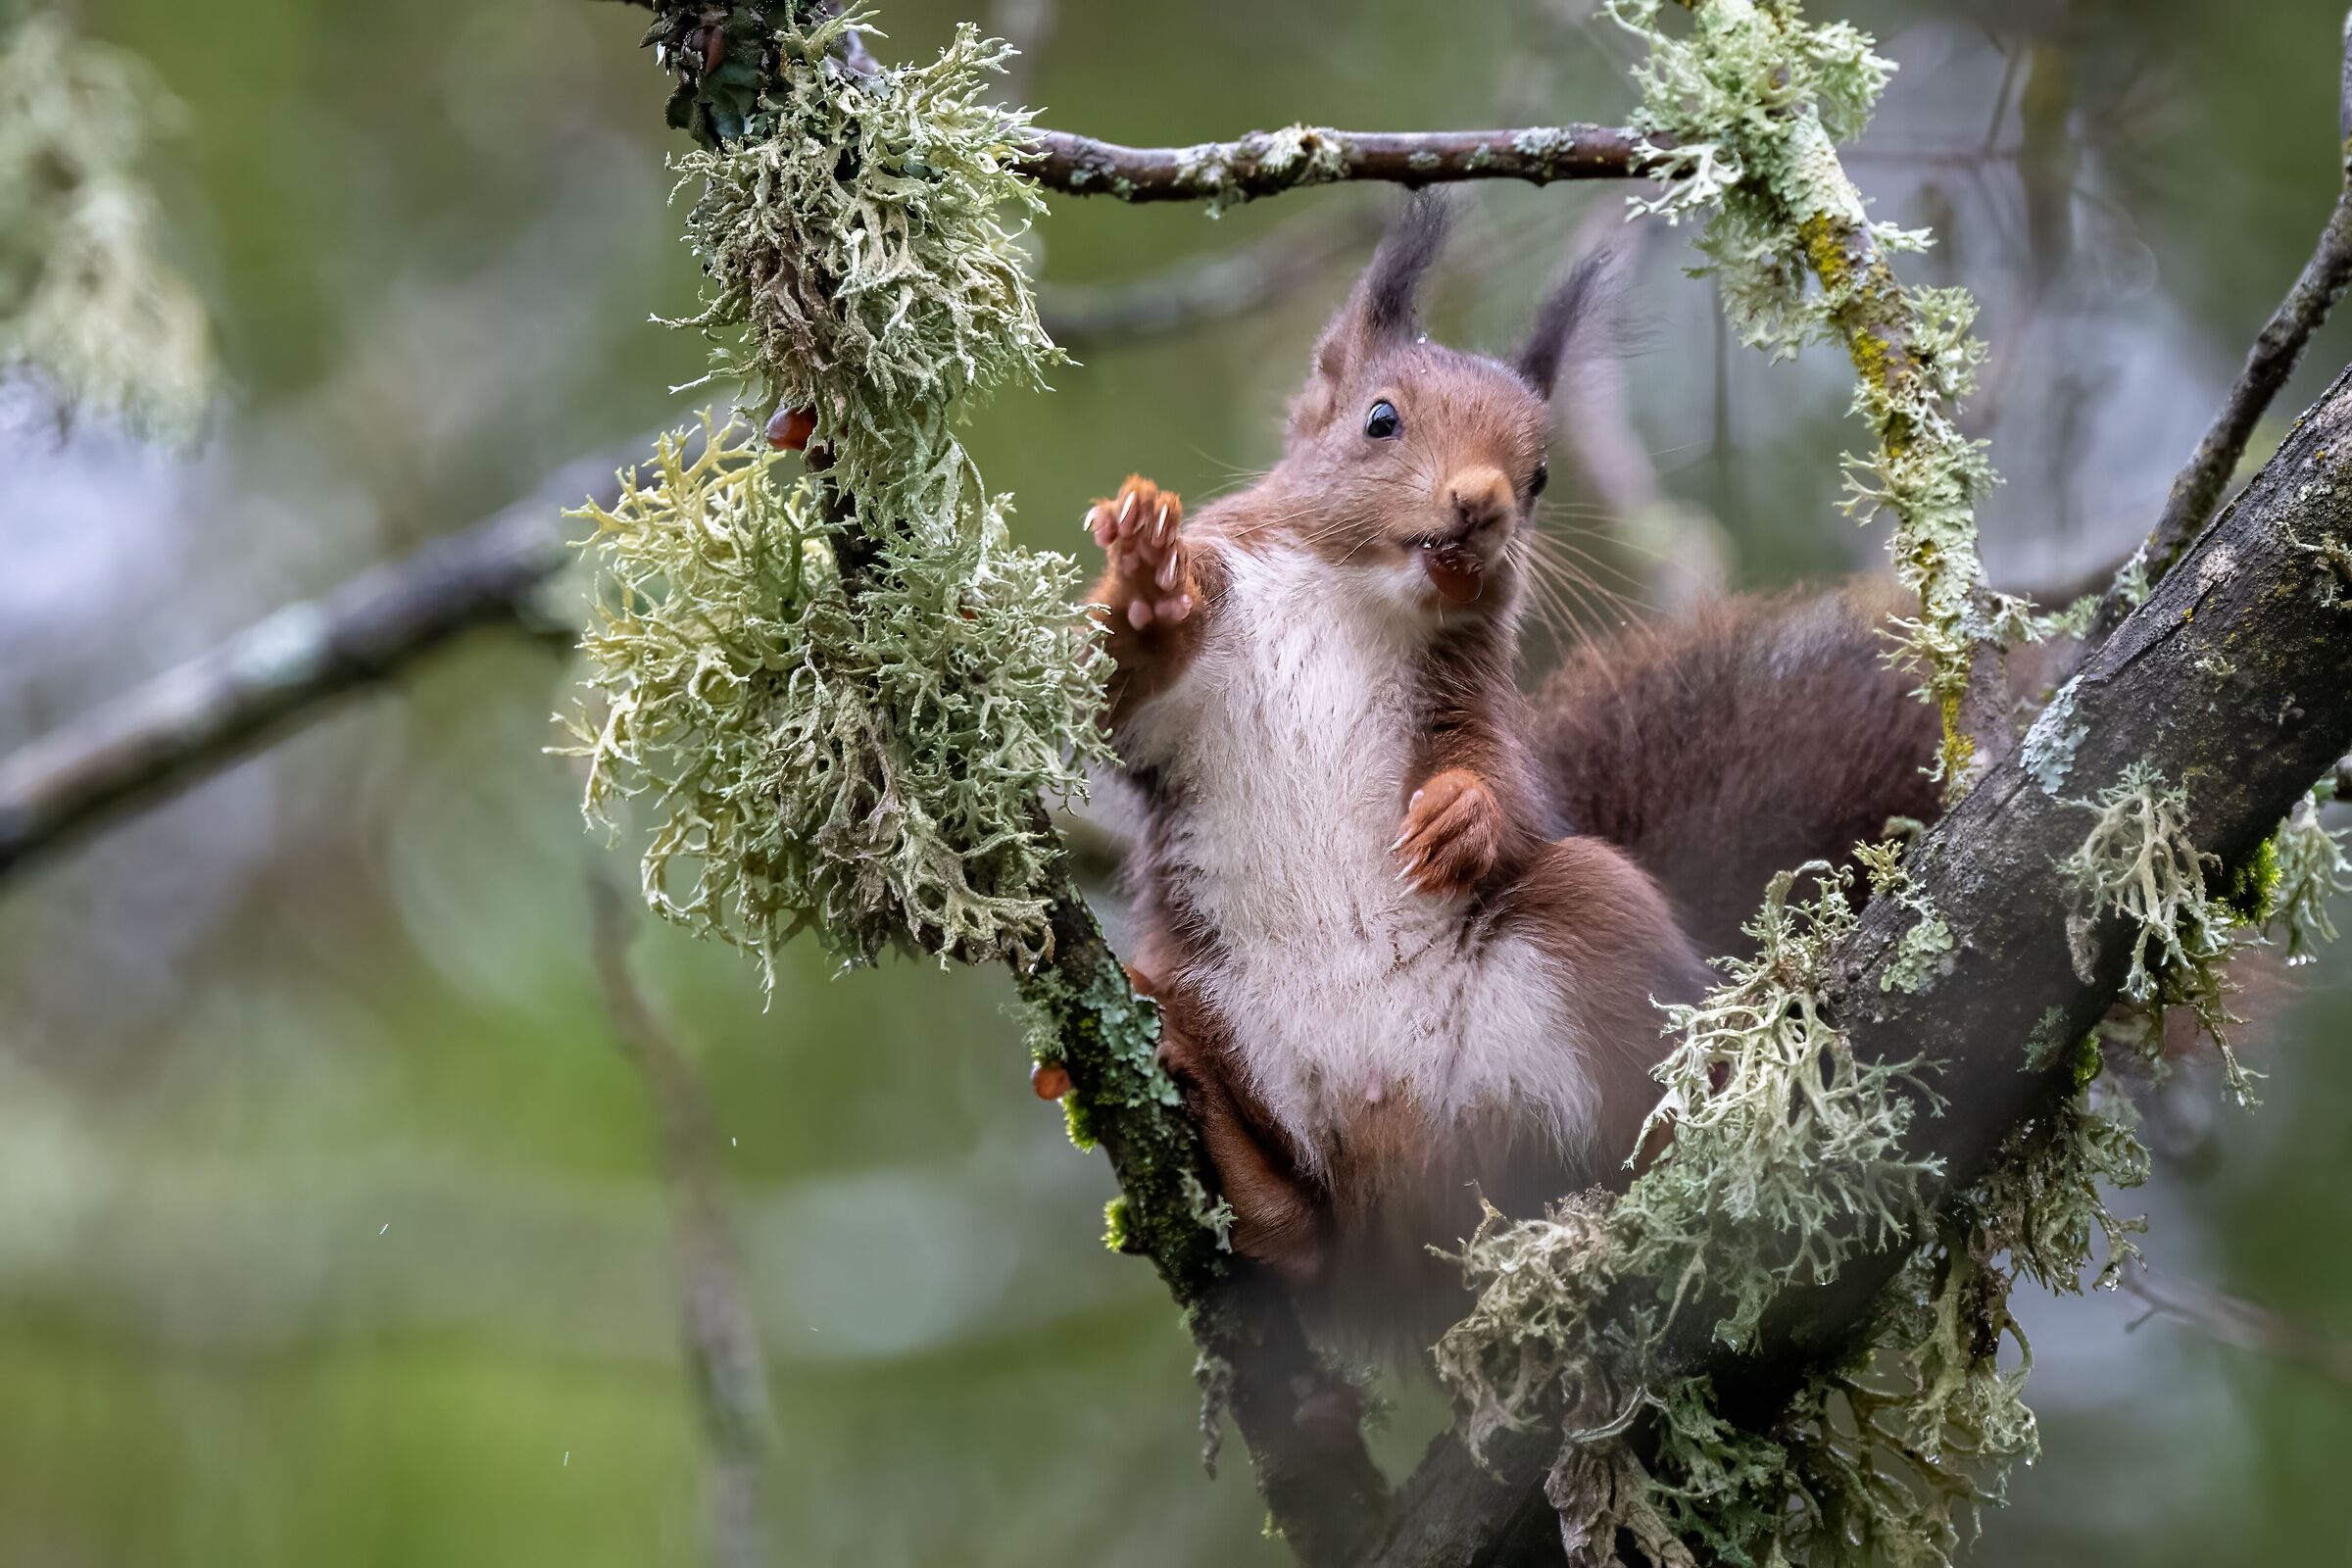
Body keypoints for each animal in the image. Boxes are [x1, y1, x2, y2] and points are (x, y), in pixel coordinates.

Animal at [1079, 194, 1941, 1351]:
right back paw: (1248, 1174)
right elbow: (1116, 703)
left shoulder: (1474, 697)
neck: (1353, 595)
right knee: (1306, 1243)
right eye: (1380, 420)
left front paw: (1464, 818)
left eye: (1539, 476)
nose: (1482, 501)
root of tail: (1412, 1193)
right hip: (1200, 989)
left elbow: (1503, 782)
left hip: (1589, 930)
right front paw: (1144, 582)